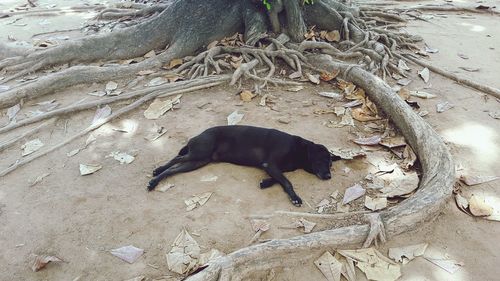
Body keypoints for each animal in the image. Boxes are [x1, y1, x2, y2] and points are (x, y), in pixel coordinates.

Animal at [146, 124, 340, 206]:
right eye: (322, 161)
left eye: (331, 164)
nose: (329, 177)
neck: (299, 150)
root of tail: (197, 136)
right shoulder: (270, 163)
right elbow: (287, 182)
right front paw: (295, 198)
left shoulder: (272, 167)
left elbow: (280, 179)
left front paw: (265, 182)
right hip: (198, 153)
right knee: (175, 160)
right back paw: (155, 176)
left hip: (198, 161)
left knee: (175, 168)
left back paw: (157, 177)